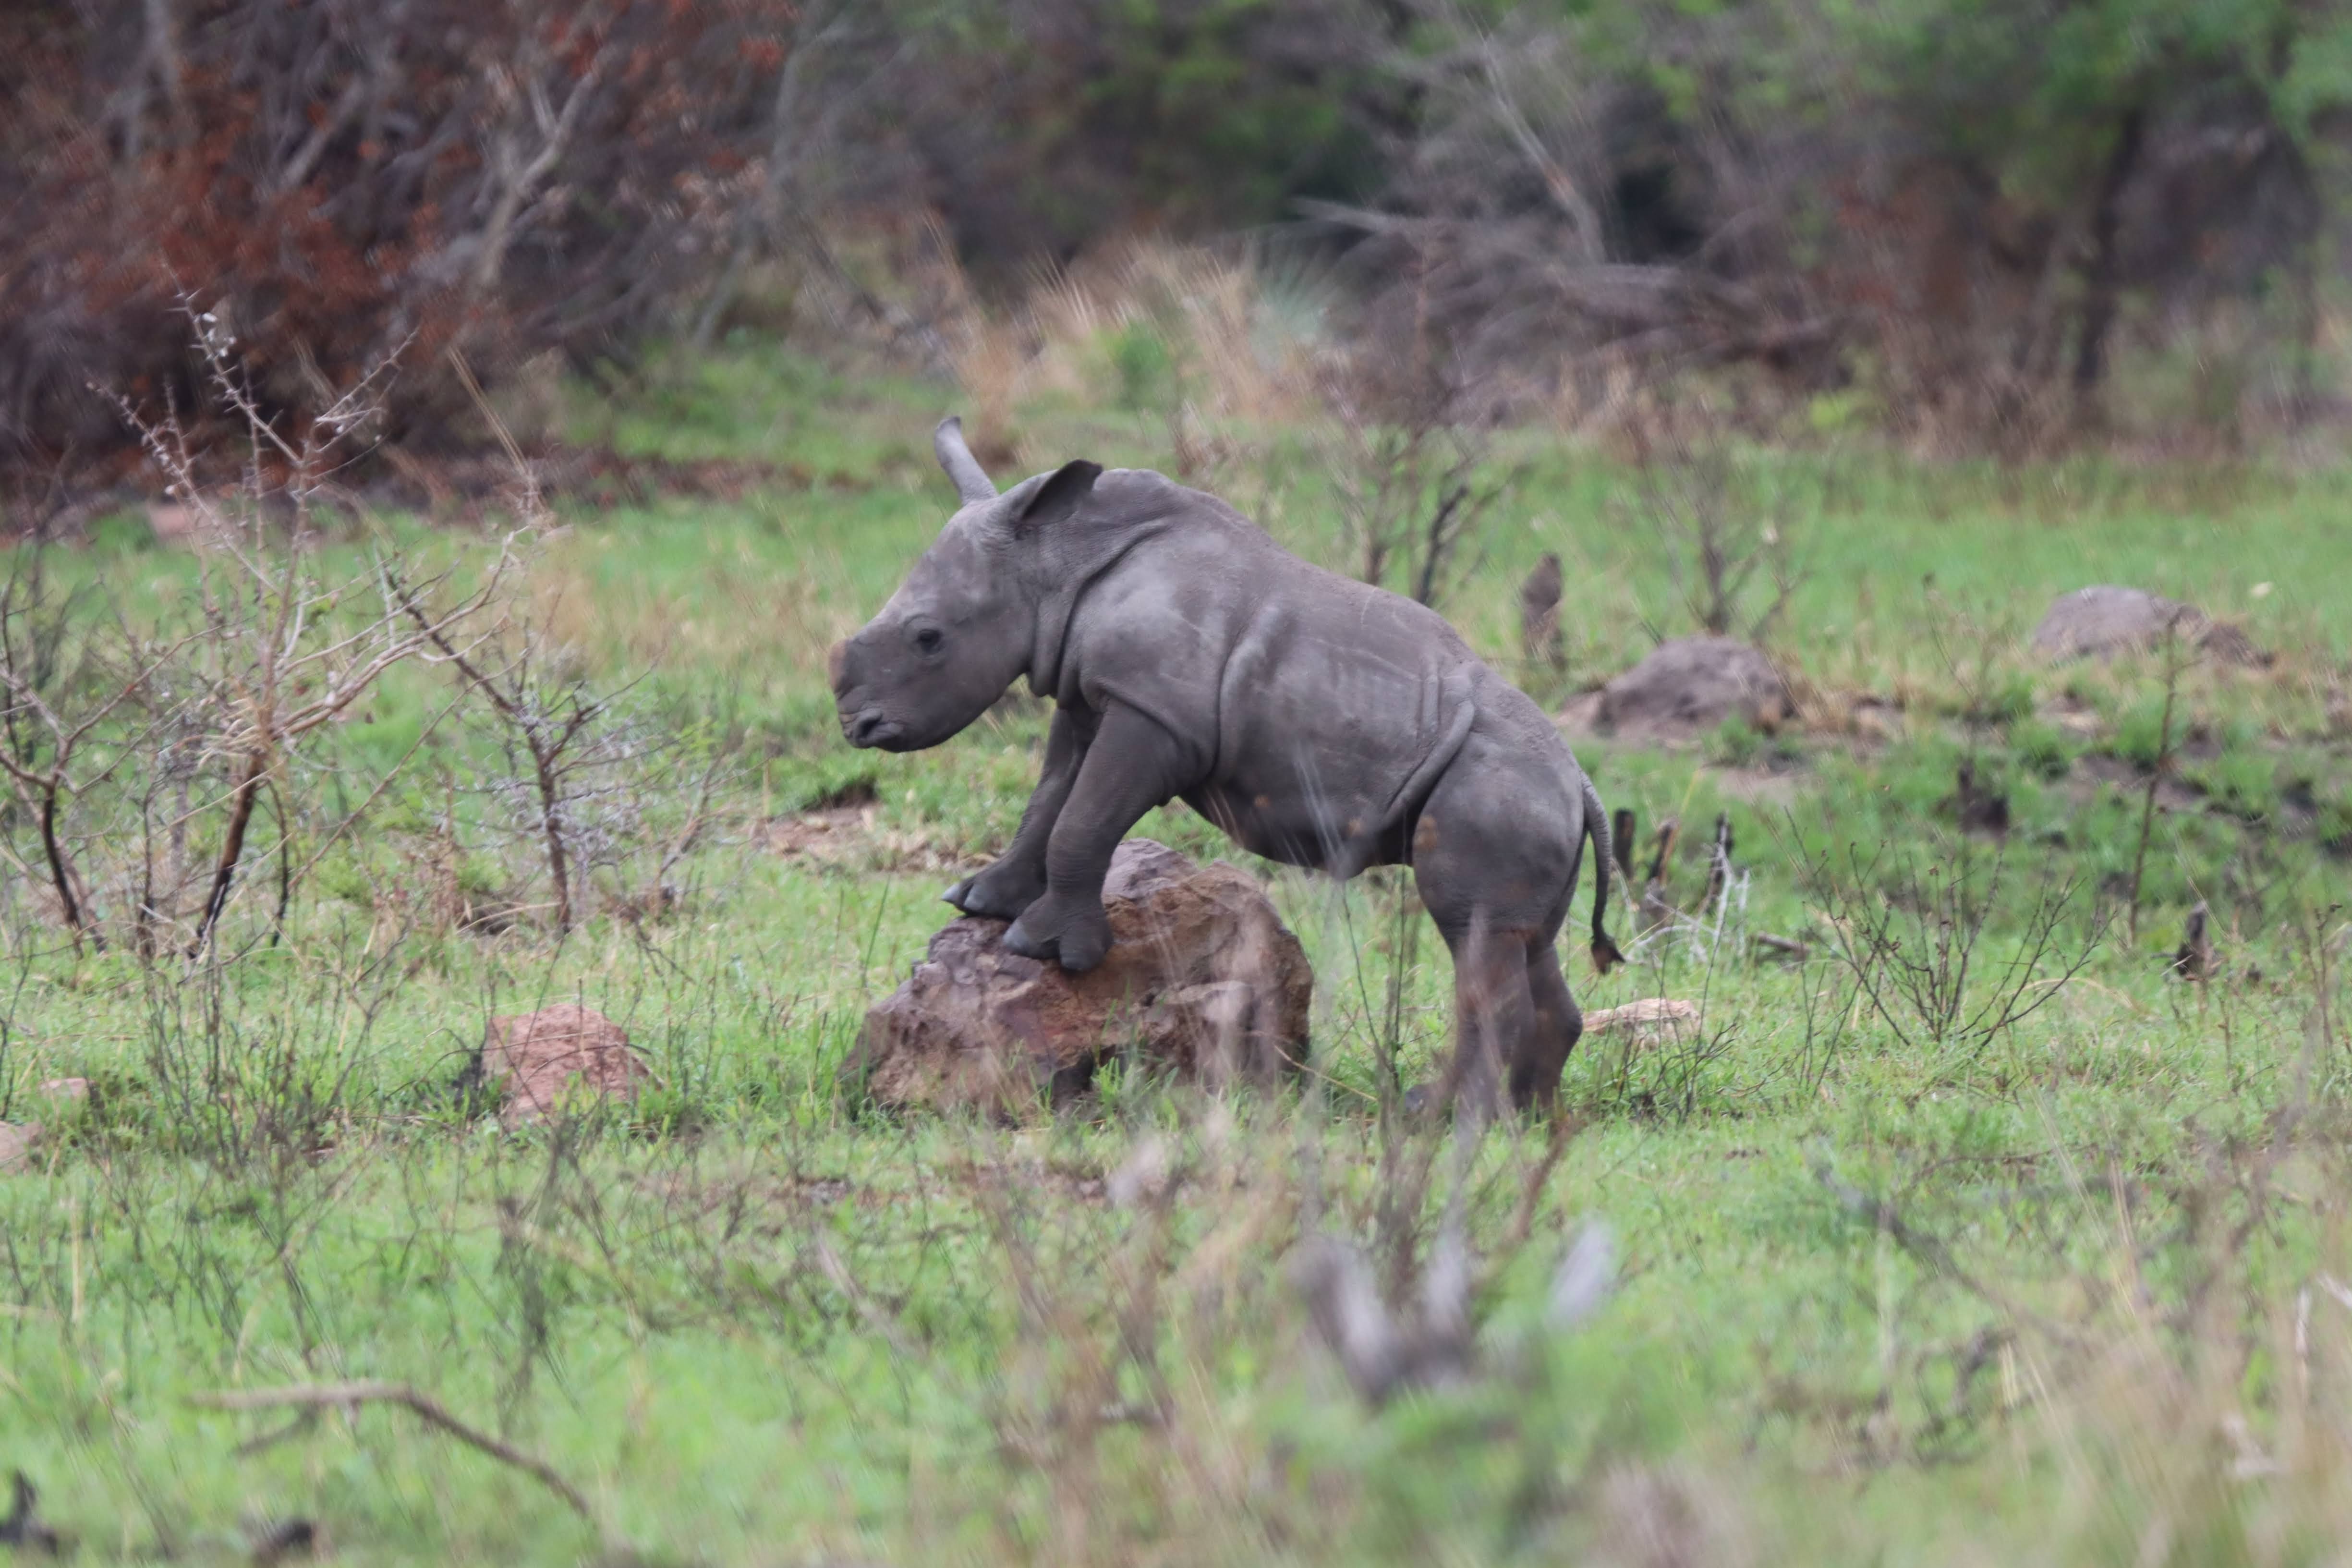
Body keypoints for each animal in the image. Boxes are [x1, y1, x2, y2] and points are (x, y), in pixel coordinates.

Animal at [828, 419, 1623, 1113]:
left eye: (929, 638)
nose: (855, 725)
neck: (1056, 562)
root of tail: (1581, 783)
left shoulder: (1156, 715)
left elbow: (1083, 818)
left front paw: (1047, 949)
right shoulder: (1092, 694)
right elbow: (1048, 800)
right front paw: (980, 902)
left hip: (1497, 789)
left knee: (1474, 939)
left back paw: (1444, 1119)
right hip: (1521, 795)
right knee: (1519, 940)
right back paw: (1526, 1121)